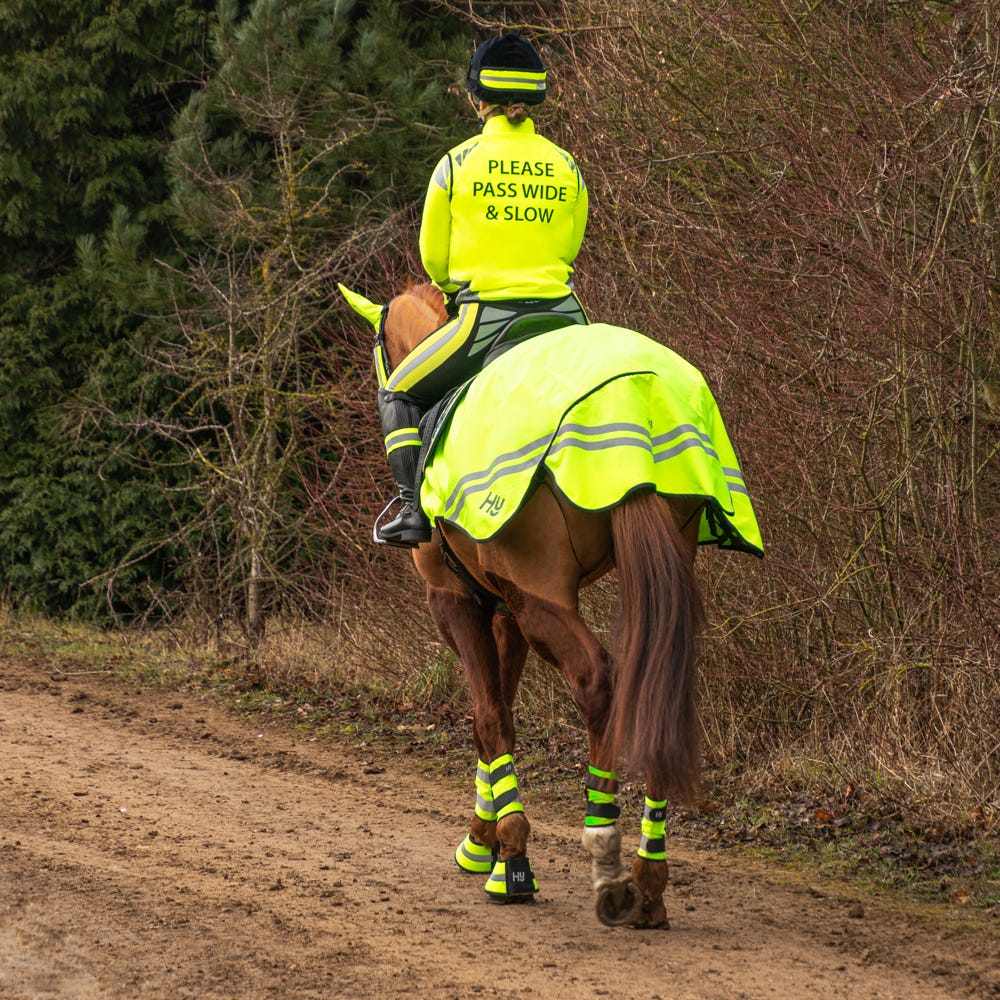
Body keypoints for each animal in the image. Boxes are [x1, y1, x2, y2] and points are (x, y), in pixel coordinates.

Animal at [344, 278, 764, 924]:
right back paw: (649, 877)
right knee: (656, 683)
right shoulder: (507, 610)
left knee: (599, 682)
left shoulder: (457, 603)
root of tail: (634, 398)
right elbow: (500, 717)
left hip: (542, 599)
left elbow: (488, 718)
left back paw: (605, 854)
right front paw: (488, 840)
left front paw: (504, 855)